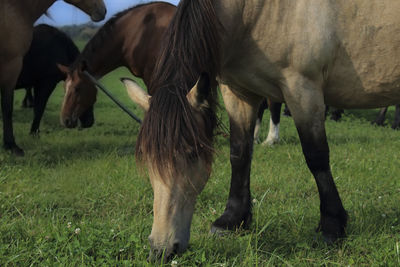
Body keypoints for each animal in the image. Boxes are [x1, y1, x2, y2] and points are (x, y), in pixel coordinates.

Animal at [122, 0, 400, 260]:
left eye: (191, 153)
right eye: (147, 157)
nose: (161, 249)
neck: (256, 12)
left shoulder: (303, 90)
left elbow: (316, 158)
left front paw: (332, 226)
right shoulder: (238, 92)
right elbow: (240, 154)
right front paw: (232, 220)